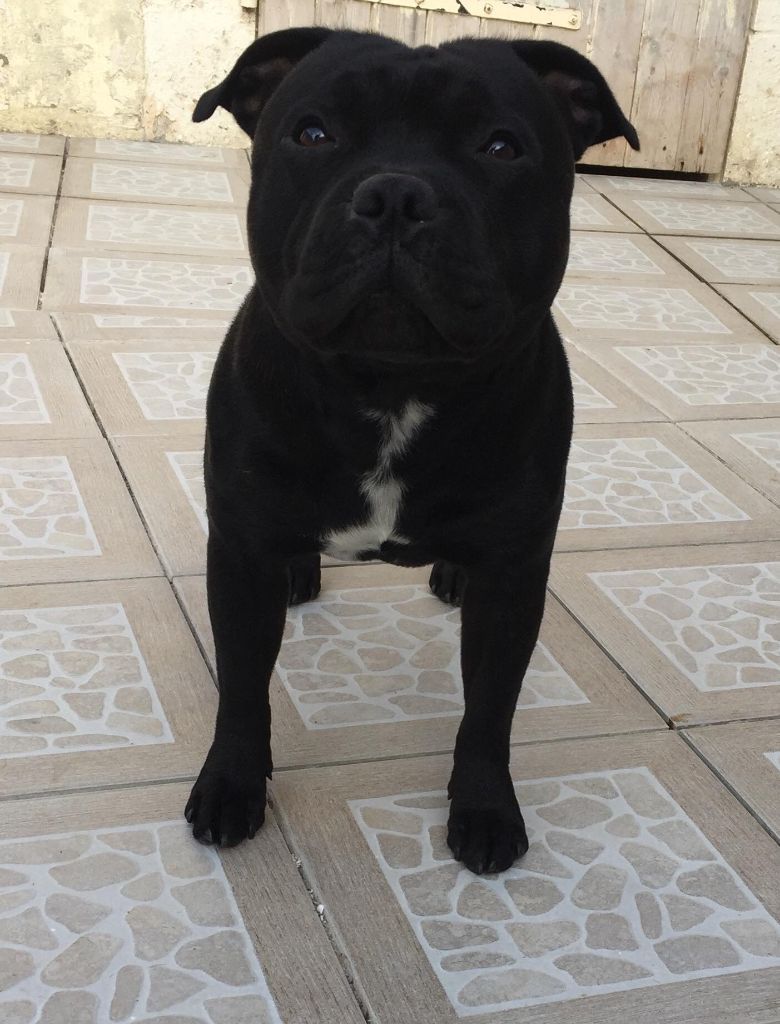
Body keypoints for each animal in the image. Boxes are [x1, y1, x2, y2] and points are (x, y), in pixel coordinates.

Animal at [185, 27, 639, 875]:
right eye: (313, 134)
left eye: (501, 146)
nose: (395, 195)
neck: (392, 386)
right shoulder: (239, 553)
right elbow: (242, 687)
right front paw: (231, 785)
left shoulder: (515, 578)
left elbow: (490, 706)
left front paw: (485, 808)